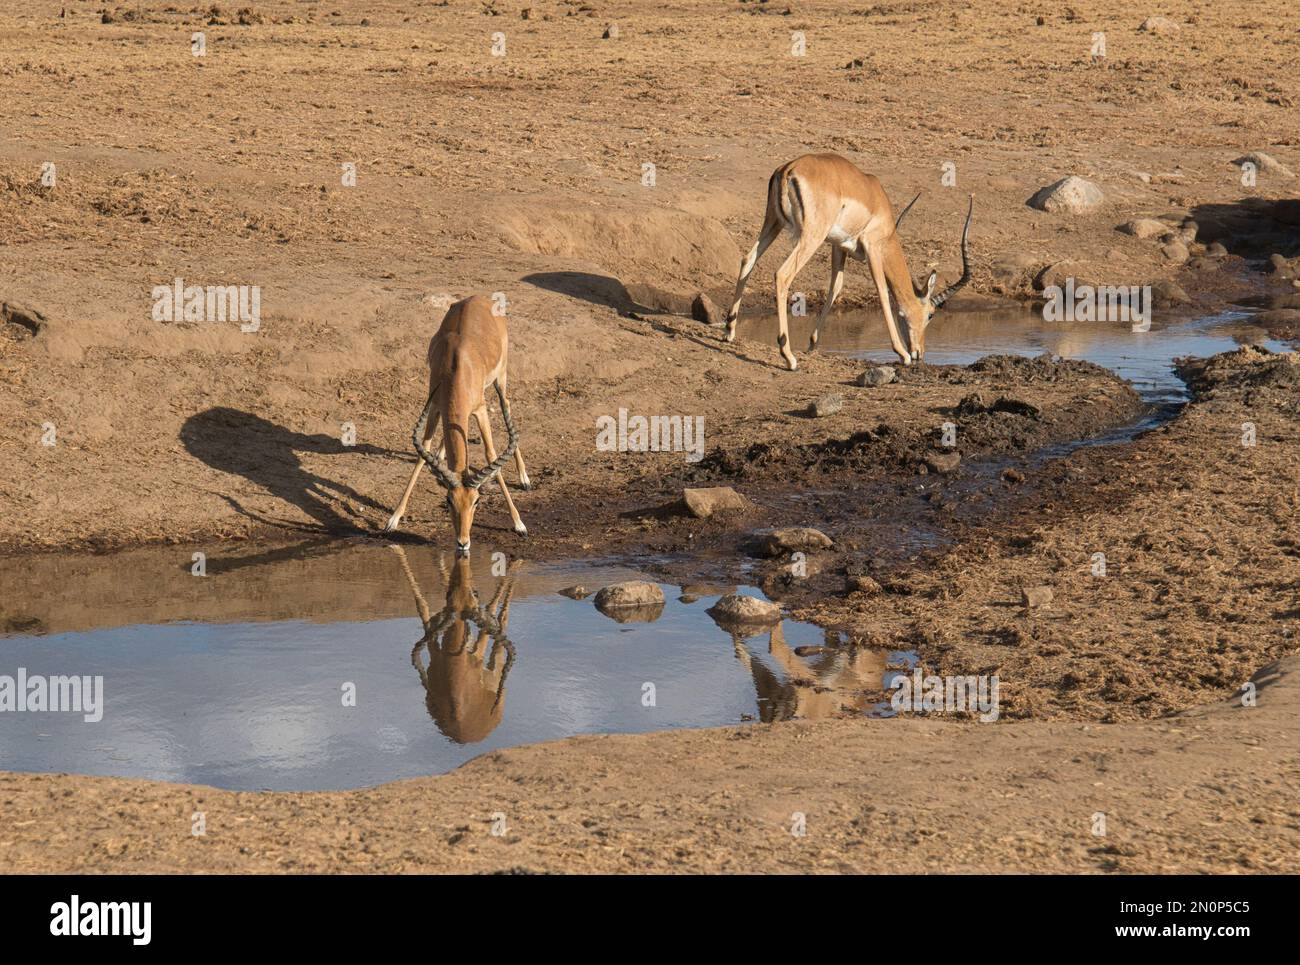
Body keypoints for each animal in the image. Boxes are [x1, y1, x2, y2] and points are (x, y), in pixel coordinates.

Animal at [384, 295, 530, 555]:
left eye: (477, 501)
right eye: (448, 500)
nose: (463, 543)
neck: (457, 365)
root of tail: (479, 297)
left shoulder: (480, 410)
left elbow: (491, 453)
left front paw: (519, 523)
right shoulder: (435, 405)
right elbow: (423, 451)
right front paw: (393, 519)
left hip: (500, 379)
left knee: (507, 405)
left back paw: (524, 478)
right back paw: (442, 454)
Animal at [725, 153, 973, 370]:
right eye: (930, 314)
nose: (919, 353)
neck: (876, 198)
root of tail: (788, 169)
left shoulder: (838, 246)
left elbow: (836, 287)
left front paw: (813, 343)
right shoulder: (873, 248)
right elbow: (882, 292)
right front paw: (902, 354)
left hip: (773, 223)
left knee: (747, 260)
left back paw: (729, 331)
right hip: (811, 236)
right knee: (782, 274)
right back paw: (789, 358)